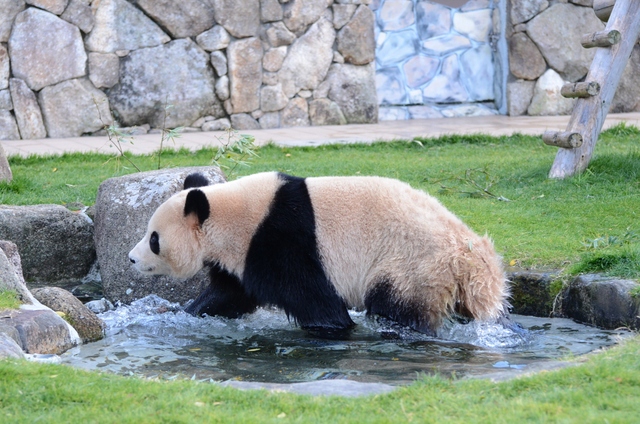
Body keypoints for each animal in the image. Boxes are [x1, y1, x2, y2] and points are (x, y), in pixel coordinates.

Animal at [129, 171, 510, 334]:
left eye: (154, 239)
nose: (131, 259)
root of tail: (473, 257)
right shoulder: (241, 258)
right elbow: (230, 295)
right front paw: (184, 313)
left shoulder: (279, 238)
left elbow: (310, 296)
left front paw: (331, 327)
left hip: (413, 264)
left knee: (396, 305)